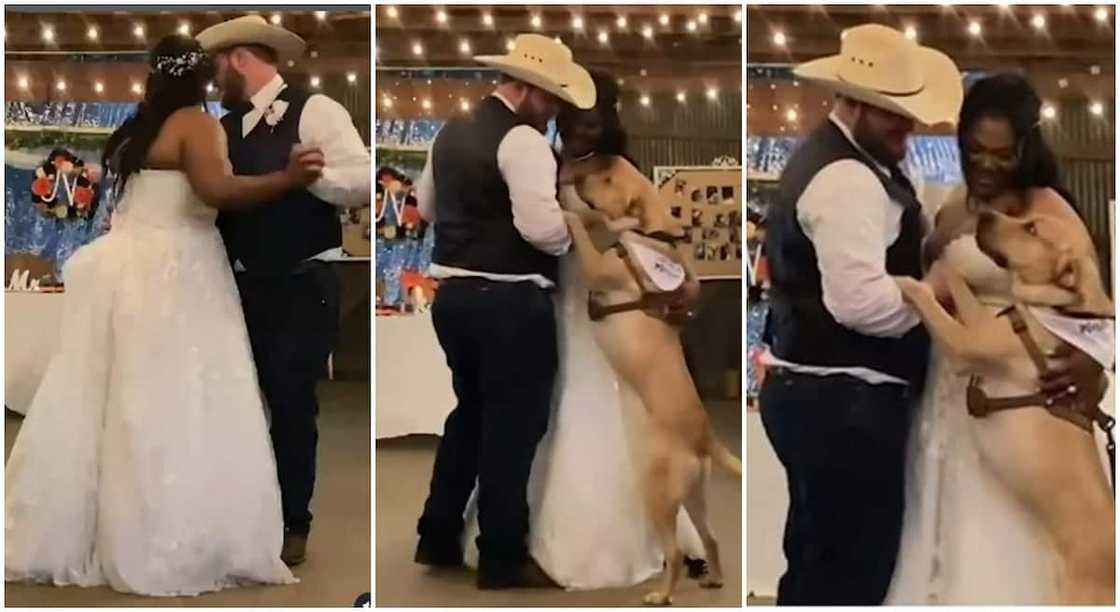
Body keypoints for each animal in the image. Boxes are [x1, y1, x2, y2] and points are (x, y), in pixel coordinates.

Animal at [560, 154, 743, 600]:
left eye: (609, 179)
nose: (578, 169)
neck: (648, 231)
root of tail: (704, 437)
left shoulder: (598, 266)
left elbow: (581, 230)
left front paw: (568, 211)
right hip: (694, 495)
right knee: (711, 538)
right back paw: (713, 577)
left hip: (657, 496)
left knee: (674, 552)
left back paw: (662, 595)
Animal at [896, 207, 1115, 600]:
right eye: (1028, 219)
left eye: (1031, 229)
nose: (983, 213)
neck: (1047, 311)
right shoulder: (978, 320)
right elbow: (961, 287)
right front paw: (949, 266)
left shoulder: (966, 342)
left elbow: (937, 302)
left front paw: (909, 283)